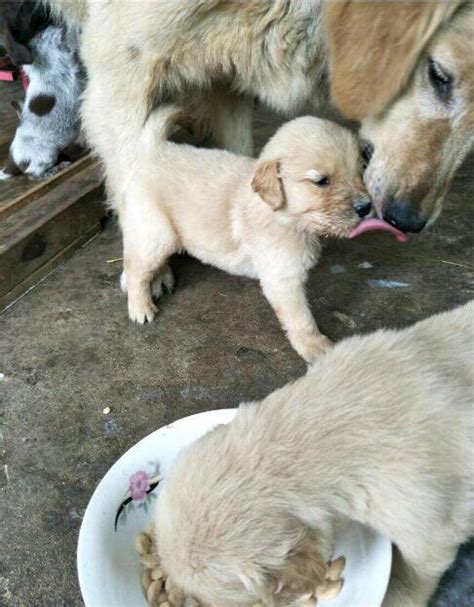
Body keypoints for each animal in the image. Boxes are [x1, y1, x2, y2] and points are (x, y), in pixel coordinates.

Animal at [122, 111, 404, 360]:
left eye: (360, 171)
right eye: (321, 181)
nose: (365, 207)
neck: (281, 214)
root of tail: (155, 151)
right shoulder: (283, 278)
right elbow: (301, 318)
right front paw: (314, 346)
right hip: (157, 233)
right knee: (135, 267)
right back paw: (140, 306)